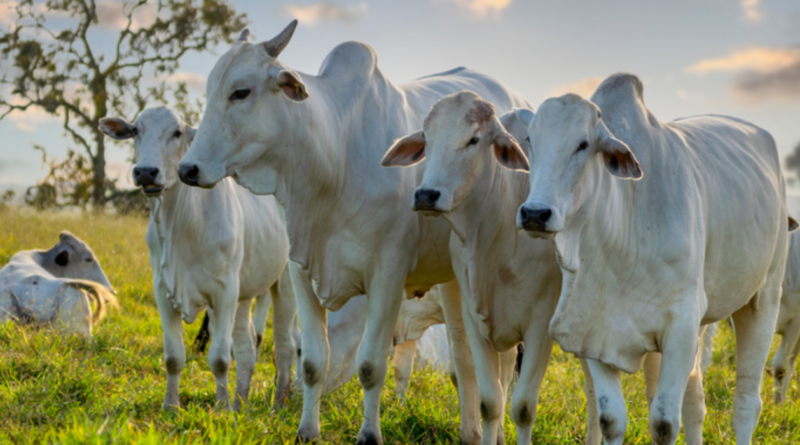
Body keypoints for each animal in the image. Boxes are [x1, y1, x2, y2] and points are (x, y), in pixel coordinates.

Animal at [99, 106, 298, 412]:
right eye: (135, 131)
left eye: (177, 132)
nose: (145, 172)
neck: (181, 226)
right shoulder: (163, 291)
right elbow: (173, 356)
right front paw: (171, 405)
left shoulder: (224, 292)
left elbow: (220, 357)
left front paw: (221, 408)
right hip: (244, 293)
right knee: (247, 347)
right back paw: (240, 403)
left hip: (285, 283)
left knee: (285, 346)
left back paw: (277, 404)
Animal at [179, 20, 536, 440]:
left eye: (240, 92)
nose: (187, 169)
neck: (335, 153)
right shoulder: (300, 272)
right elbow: (315, 362)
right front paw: (307, 432)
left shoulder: (387, 276)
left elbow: (370, 366)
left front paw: (369, 434)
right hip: (454, 279)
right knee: (466, 361)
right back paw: (471, 433)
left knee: (492, 368)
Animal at [382, 91, 600, 444]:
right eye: (426, 137)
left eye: (474, 139)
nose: (426, 195)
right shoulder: (472, 315)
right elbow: (489, 400)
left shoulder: (541, 323)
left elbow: (523, 406)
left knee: (593, 388)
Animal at [512, 74, 792, 442]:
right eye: (531, 140)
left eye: (583, 144)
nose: (535, 213)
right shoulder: (593, 331)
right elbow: (611, 419)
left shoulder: (681, 326)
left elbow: (663, 424)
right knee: (695, 399)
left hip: (763, 299)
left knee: (746, 403)